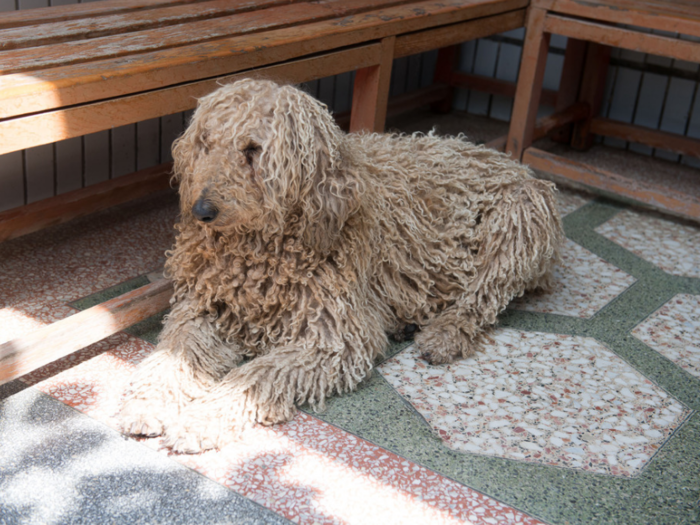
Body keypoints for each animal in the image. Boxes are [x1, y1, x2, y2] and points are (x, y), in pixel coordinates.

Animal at [116, 78, 564, 450]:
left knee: (484, 297)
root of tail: (508, 159)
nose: (201, 210)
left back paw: (444, 335)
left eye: (253, 149)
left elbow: (256, 376)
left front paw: (203, 419)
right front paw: (149, 399)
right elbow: (176, 350)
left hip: (517, 226)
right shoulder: (206, 305)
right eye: (205, 142)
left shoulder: (332, 337)